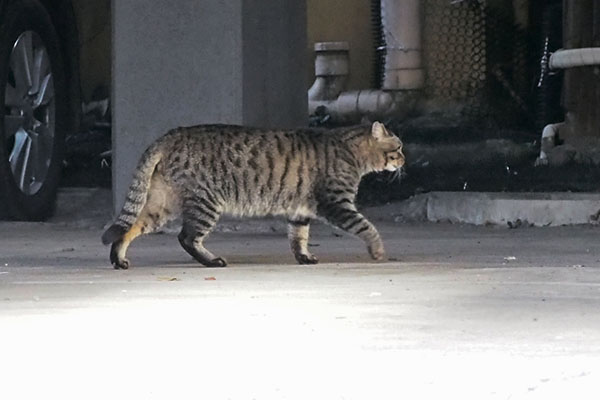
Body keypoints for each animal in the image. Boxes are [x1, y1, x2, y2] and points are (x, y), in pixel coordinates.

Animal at [102, 122, 404, 268]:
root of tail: (171, 135)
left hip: (160, 203)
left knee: (128, 228)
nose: (405, 159)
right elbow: (367, 226)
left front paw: (304, 257)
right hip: (206, 202)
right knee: (186, 237)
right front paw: (377, 251)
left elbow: (298, 238)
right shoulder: (336, 203)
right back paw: (212, 261)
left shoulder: (300, 211)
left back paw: (118, 259)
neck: (351, 151)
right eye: (398, 146)